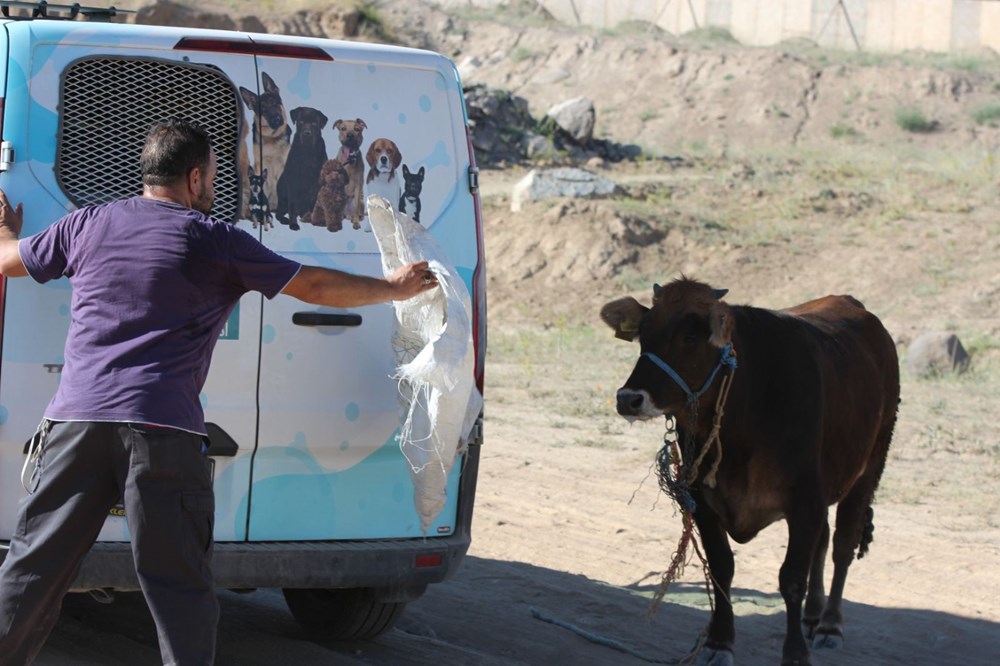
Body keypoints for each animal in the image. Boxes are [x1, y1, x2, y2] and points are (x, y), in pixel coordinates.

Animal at [600, 278, 900, 660]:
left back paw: (830, 624)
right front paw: (719, 641)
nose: (629, 399)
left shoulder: (805, 499)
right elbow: (721, 567)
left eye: (689, 337)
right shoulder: (701, 499)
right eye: (644, 335)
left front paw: (795, 652)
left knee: (842, 544)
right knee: (822, 542)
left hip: (870, 465)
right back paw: (812, 616)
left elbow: (791, 578)